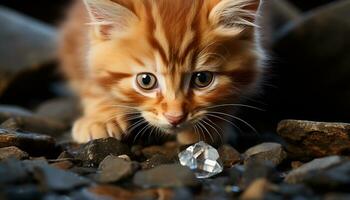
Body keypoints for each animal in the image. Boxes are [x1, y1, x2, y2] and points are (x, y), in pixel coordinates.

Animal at [59, 0, 262, 145]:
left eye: (202, 78)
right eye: (146, 80)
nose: (175, 118)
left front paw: (210, 127)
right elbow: (92, 82)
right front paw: (102, 119)